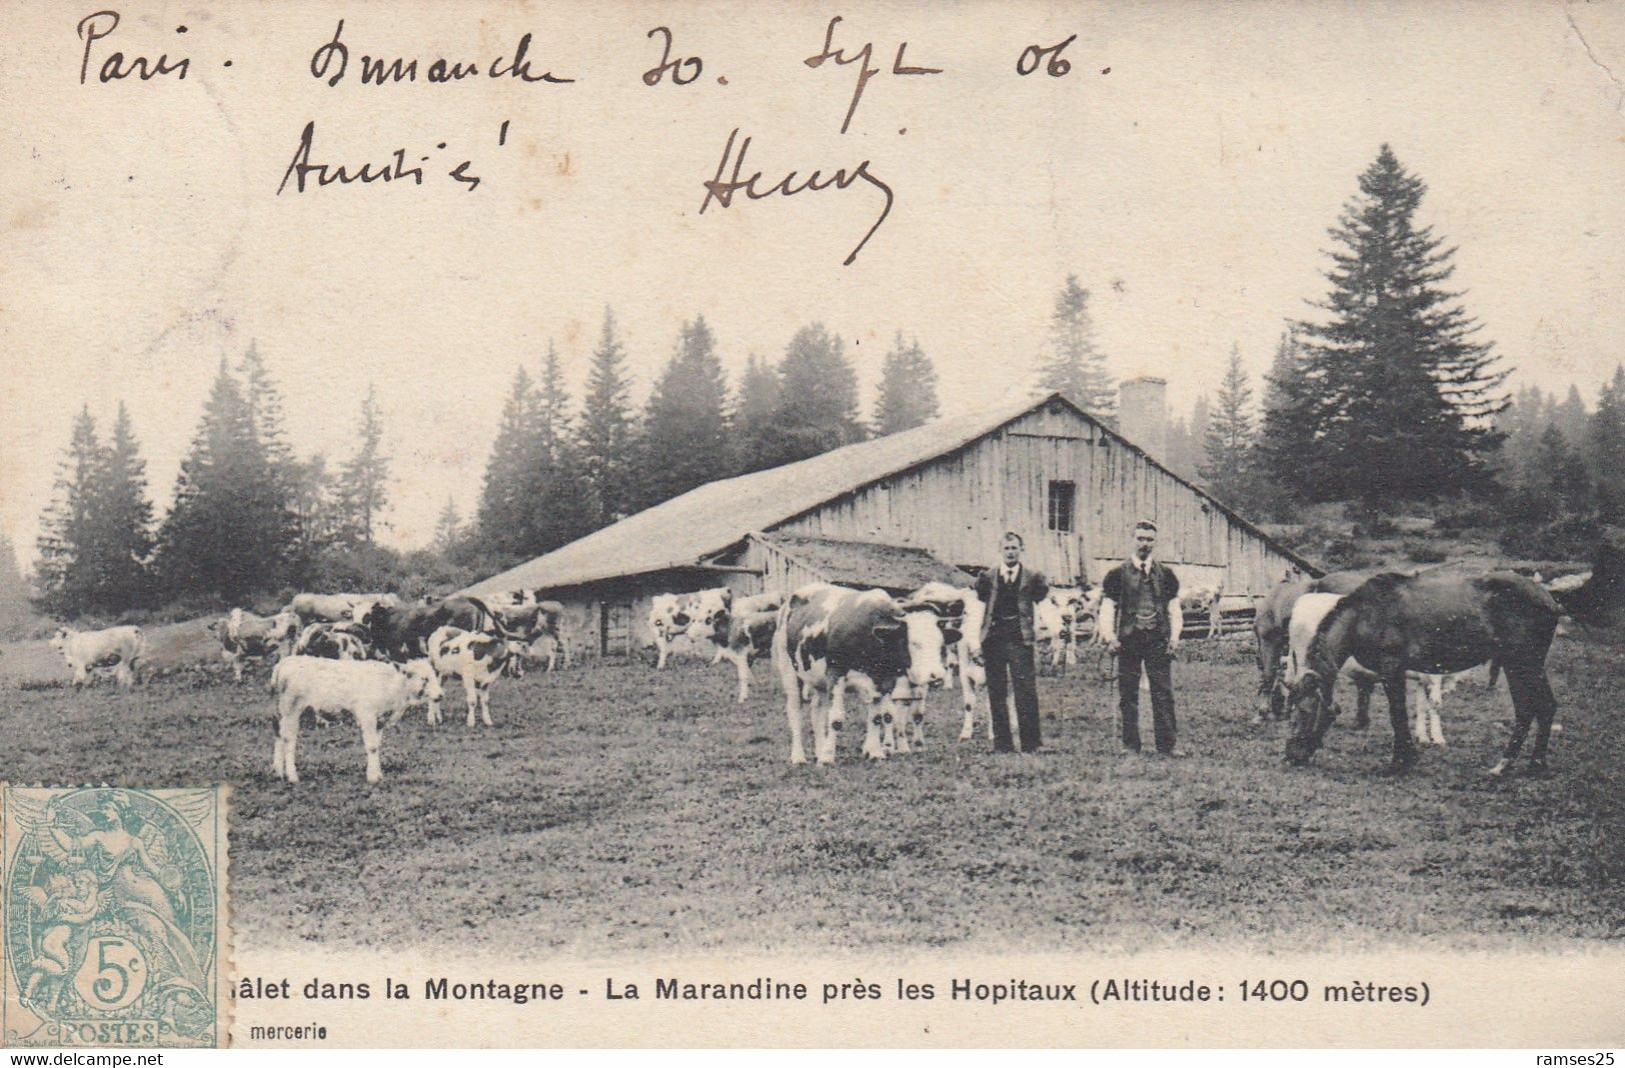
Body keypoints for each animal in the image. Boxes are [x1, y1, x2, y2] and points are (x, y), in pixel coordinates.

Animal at [268, 650, 432, 783]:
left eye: (432, 676)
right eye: (423, 678)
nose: (437, 696)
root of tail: (284, 663)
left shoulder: (380, 720)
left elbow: (377, 745)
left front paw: (377, 774)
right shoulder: (367, 714)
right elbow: (372, 746)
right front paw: (373, 777)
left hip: (281, 711)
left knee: (278, 735)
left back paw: (278, 773)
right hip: (291, 709)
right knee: (288, 739)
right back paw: (292, 776)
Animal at [773, 581, 949, 767]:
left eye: (941, 644)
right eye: (914, 643)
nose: (937, 675)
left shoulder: (883, 681)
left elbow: (877, 717)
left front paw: (875, 753)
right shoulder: (836, 675)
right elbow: (836, 719)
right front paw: (828, 757)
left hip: (818, 679)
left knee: (817, 712)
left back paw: (819, 751)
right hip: (790, 670)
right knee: (795, 712)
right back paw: (798, 756)